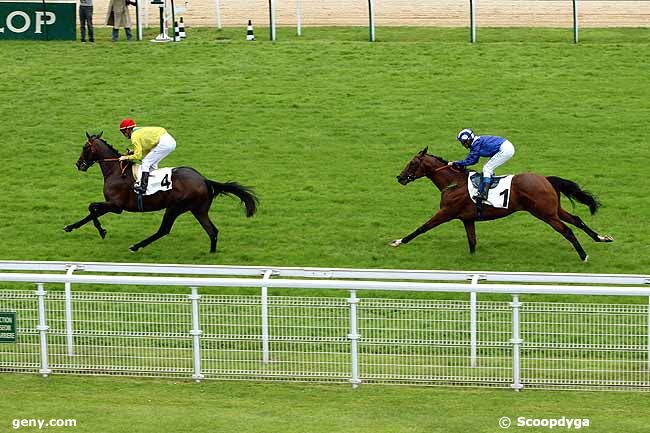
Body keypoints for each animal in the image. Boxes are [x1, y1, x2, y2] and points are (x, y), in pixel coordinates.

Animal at [64, 132, 258, 253]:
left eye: (85, 147)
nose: (79, 164)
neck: (116, 171)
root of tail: (204, 179)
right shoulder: (113, 205)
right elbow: (92, 212)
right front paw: (71, 227)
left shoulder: (116, 205)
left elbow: (92, 208)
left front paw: (101, 230)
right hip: (198, 210)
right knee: (213, 231)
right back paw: (211, 255)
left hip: (175, 207)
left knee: (164, 229)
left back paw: (136, 246)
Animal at [390, 147, 612, 260]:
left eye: (412, 163)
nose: (400, 178)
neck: (453, 183)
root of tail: (546, 179)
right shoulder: (467, 219)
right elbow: (472, 241)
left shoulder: (446, 212)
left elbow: (422, 227)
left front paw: (398, 241)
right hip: (553, 209)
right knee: (576, 219)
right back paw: (601, 238)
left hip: (545, 213)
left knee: (567, 230)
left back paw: (583, 255)